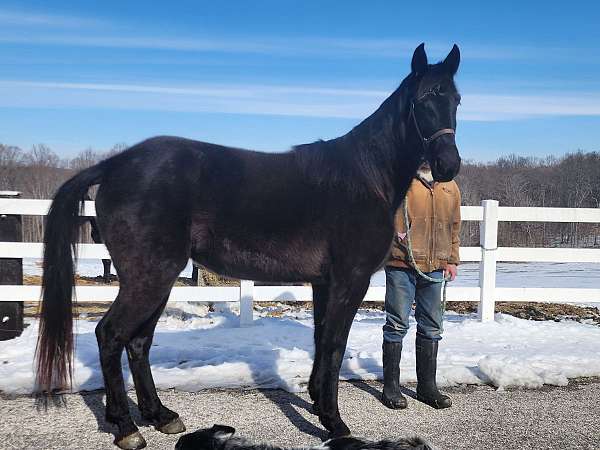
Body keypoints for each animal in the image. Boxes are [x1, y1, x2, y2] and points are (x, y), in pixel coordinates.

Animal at [35, 43, 462, 450]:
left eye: (456, 99)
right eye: (423, 99)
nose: (448, 166)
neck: (365, 177)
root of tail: (114, 164)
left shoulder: (324, 283)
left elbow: (321, 339)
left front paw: (317, 404)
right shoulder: (349, 280)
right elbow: (335, 345)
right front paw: (335, 423)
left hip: (158, 278)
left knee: (138, 342)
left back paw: (160, 415)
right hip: (149, 278)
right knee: (111, 335)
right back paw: (126, 428)